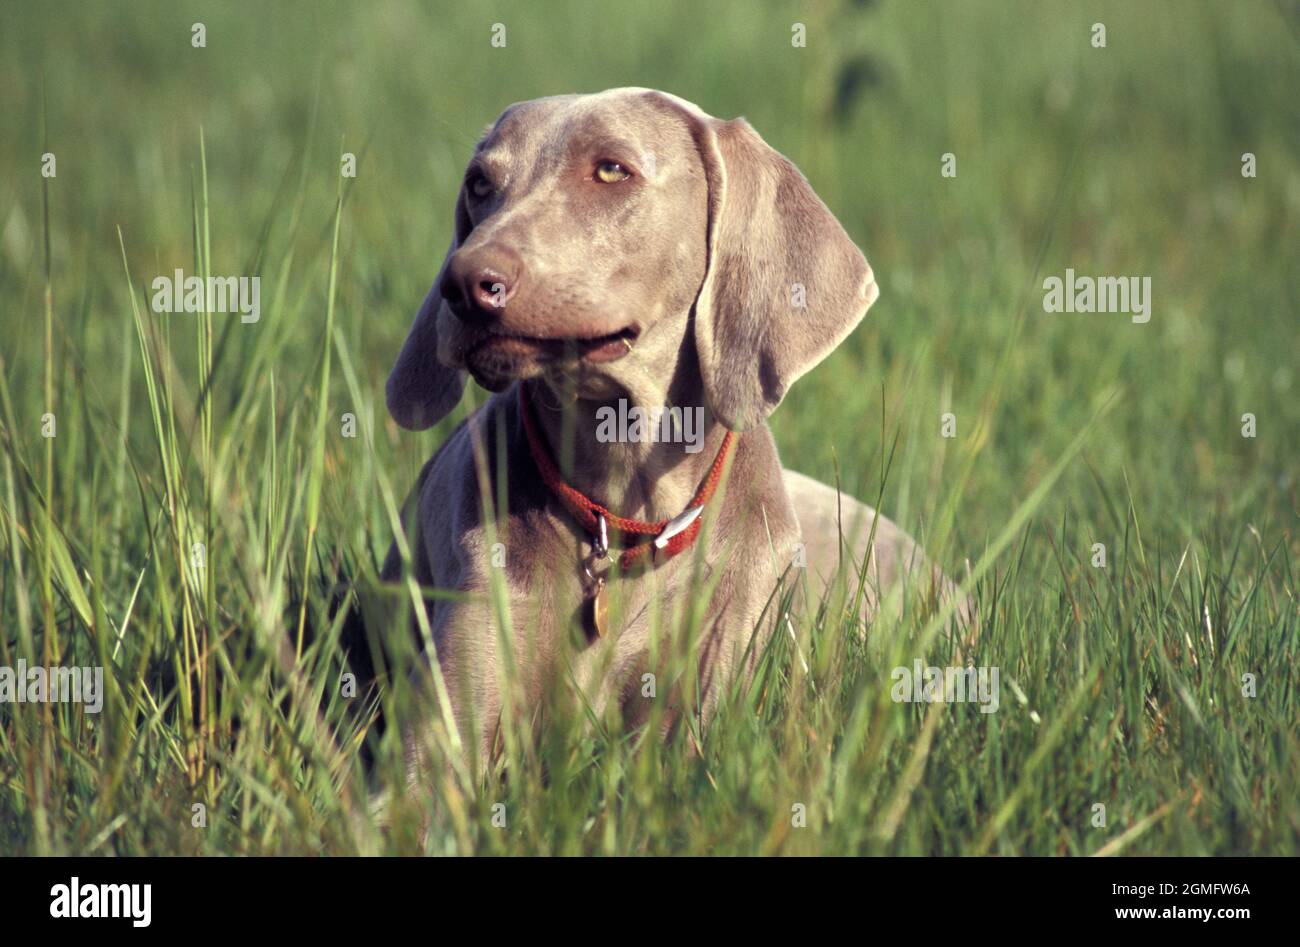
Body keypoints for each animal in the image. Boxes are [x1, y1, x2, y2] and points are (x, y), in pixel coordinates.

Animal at [379, 87, 972, 770]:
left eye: (612, 170)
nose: (465, 284)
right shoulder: (441, 731)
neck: (623, 509)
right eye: (479, 183)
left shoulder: (702, 702)